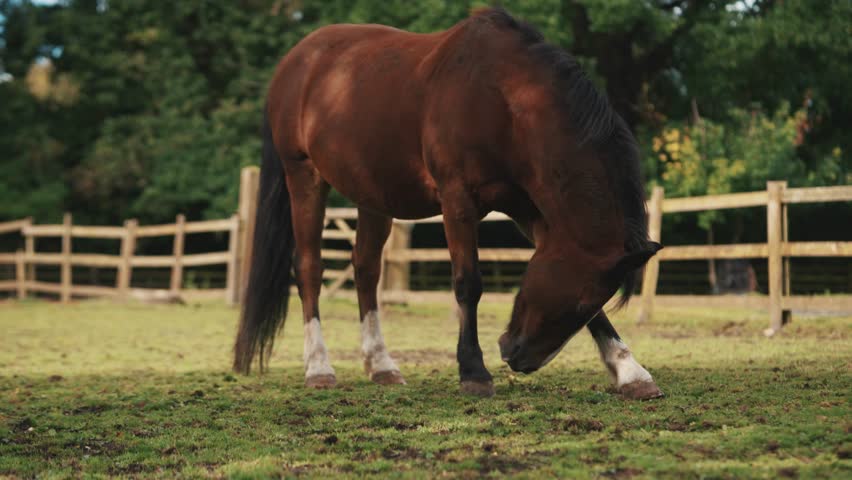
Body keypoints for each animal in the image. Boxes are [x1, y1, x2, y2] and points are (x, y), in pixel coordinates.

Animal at [233, 7, 663, 399]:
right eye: (578, 300)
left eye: (589, 303)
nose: (517, 357)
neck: (503, 99)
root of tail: (296, 61)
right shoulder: (458, 200)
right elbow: (467, 282)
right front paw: (473, 371)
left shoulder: (532, 211)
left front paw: (630, 370)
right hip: (303, 177)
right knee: (309, 268)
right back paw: (319, 367)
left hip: (372, 194)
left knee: (366, 268)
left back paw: (381, 365)